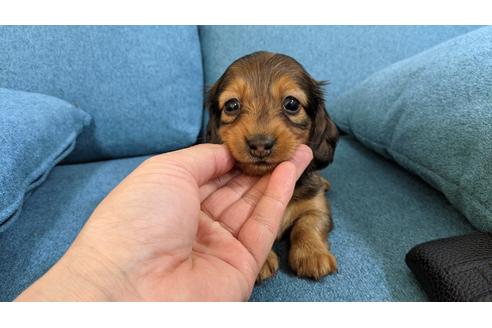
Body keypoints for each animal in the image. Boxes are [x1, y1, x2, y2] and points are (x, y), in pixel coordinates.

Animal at [204, 51, 338, 282]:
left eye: (291, 104)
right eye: (231, 105)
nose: (259, 144)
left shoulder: (317, 206)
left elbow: (307, 225)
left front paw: (313, 254)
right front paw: (263, 261)